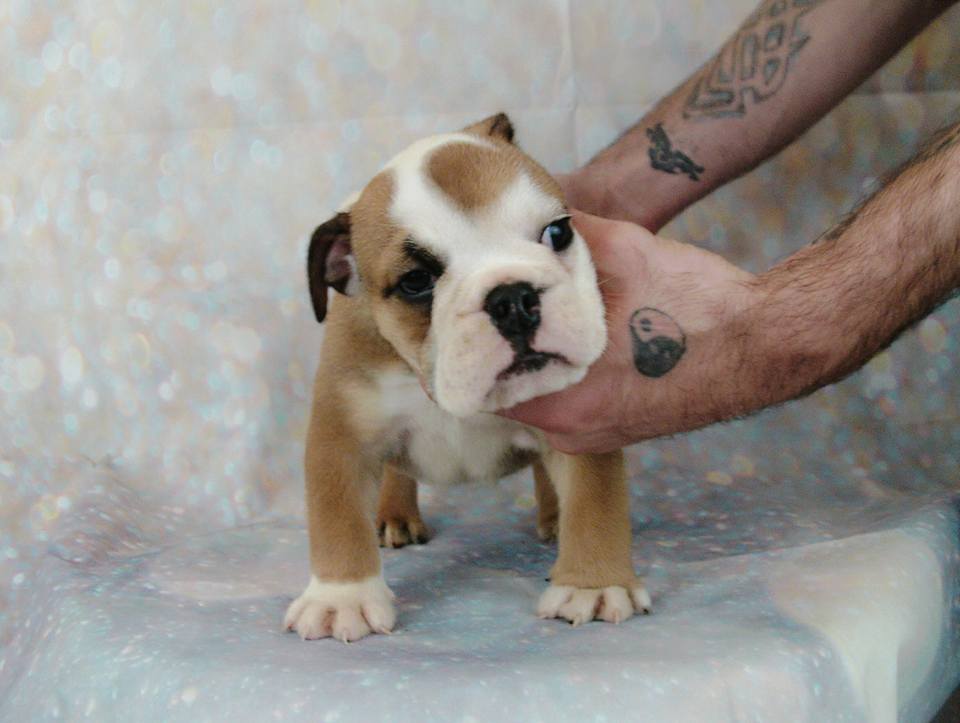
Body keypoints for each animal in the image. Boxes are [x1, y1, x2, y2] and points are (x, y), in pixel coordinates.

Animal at [284, 113, 651, 642]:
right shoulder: (343, 432)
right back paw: (395, 515)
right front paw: (342, 597)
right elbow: (337, 514)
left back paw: (553, 518)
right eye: (416, 281)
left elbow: (595, 501)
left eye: (557, 233)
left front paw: (594, 584)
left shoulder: (582, 426)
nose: (513, 298)